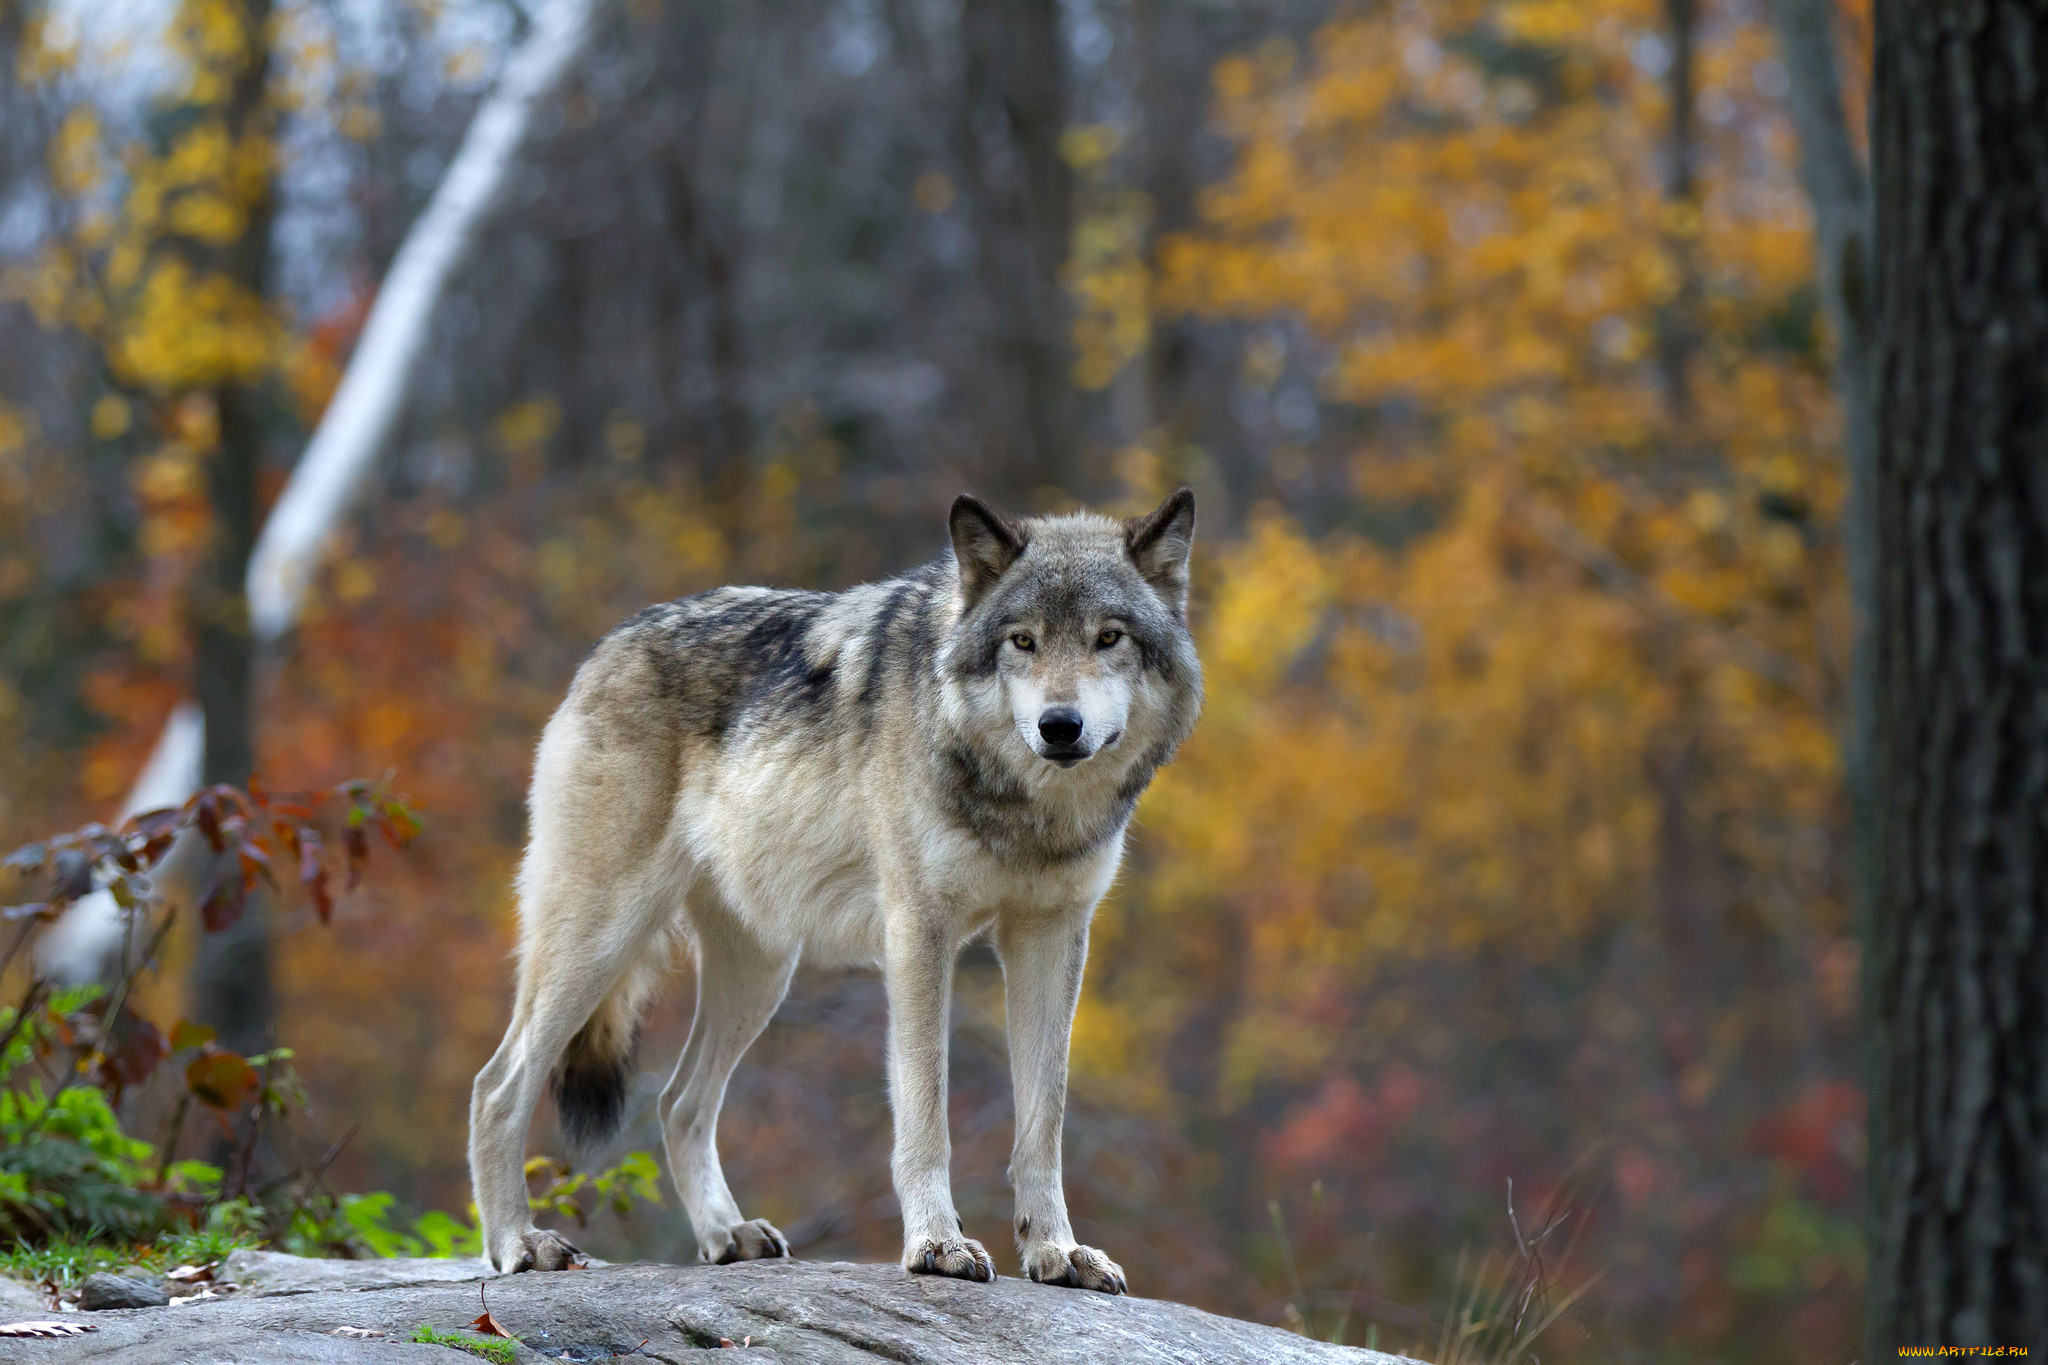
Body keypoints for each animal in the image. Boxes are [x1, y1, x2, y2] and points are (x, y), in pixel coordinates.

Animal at [464, 489, 1196, 1293]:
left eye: (1108, 638)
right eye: (1023, 641)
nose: (1059, 726)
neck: (1026, 809)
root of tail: (605, 647)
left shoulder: (1052, 934)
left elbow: (1044, 1122)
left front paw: (1057, 1252)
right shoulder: (918, 934)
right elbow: (925, 1110)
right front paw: (937, 1245)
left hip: (758, 974)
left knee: (679, 1101)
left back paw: (726, 1234)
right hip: (601, 939)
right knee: (497, 1086)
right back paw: (517, 1243)